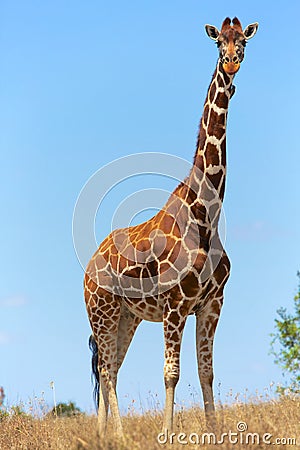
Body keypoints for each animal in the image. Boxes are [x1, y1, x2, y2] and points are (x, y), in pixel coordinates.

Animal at [84, 16, 258, 436]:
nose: (231, 63)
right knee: (106, 371)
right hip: (101, 311)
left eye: (244, 41)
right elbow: (171, 373)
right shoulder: (176, 305)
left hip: (127, 316)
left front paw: (214, 433)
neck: (206, 213)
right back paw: (120, 434)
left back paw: (103, 434)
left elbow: (207, 372)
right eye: (219, 43)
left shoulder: (212, 303)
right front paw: (166, 433)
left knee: (110, 368)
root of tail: (88, 267)